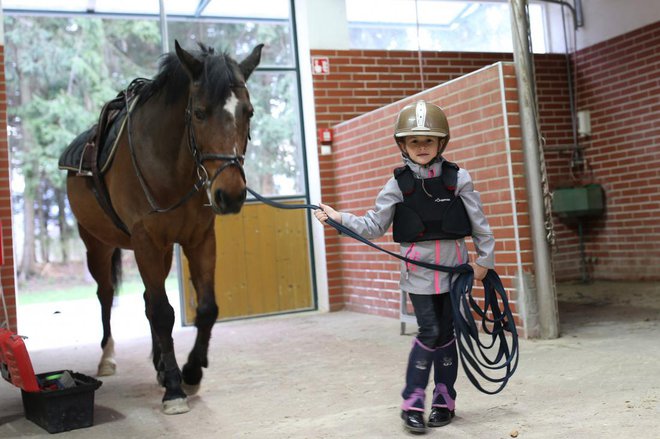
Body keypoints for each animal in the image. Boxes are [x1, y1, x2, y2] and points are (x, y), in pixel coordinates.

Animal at [63, 41, 262, 416]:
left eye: (249, 112)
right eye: (198, 112)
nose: (230, 195)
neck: (172, 165)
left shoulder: (199, 240)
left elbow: (205, 309)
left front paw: (191, 372)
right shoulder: (146, 241)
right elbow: (162, 312)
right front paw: (173, 389)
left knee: (145, 300)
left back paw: (158, 364)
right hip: (98, 246)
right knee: (106, 296)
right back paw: (108, 358)